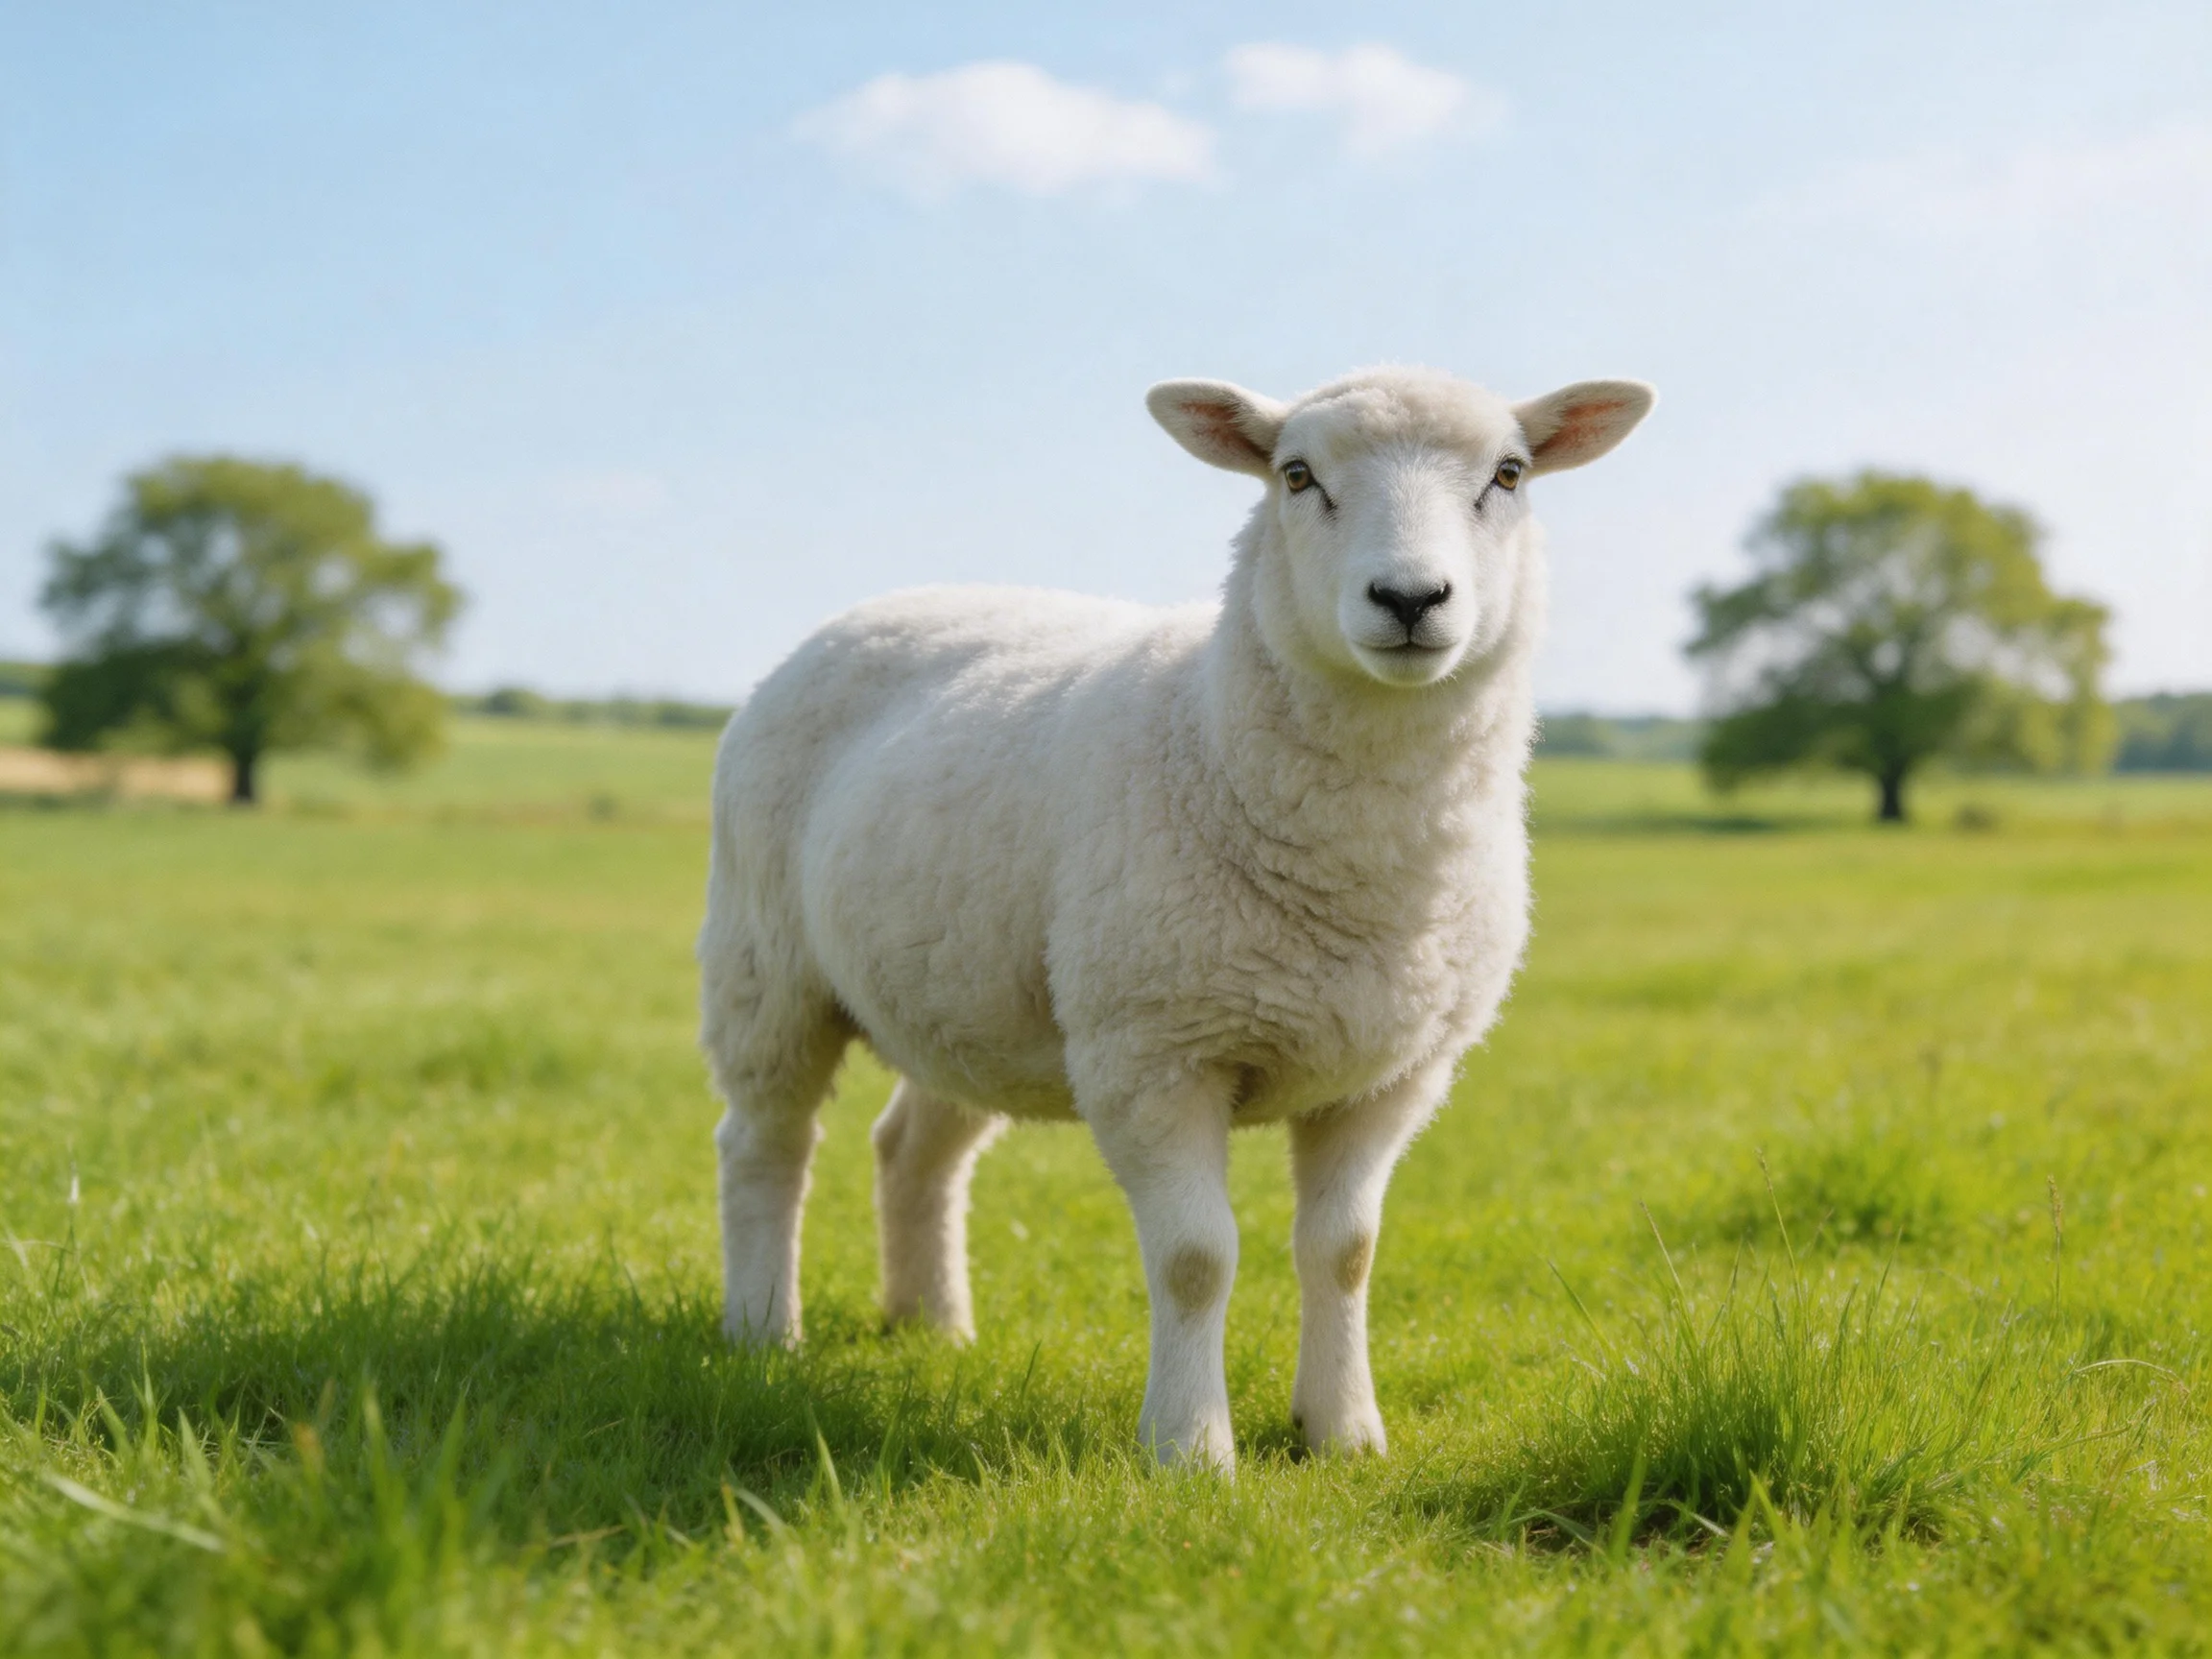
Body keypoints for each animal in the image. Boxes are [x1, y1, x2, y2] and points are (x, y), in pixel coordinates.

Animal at [699, 365, 1654, 1470]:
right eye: (1296, 475)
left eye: (1508, 474)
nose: (1411, 599)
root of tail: (885, 602)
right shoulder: (1154, 1050)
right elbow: (1198, 1258)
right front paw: (1191, 1452)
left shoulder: (1393, 1073)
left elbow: (1346, 1252)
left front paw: (1343, 1432)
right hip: (766, 963)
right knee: (766, 1142)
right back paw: (764, 1330)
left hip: (970, 989)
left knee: (914, 1149)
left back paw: (931, 1326)